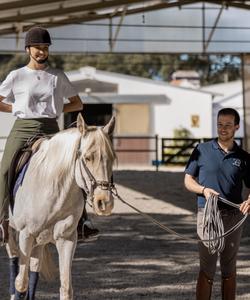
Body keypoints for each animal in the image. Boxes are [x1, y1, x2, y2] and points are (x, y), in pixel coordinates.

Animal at [5, 113, 116, 298]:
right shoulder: (25, 236)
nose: (104, 202)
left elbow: (66, 288)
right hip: (12, 234)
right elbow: (21, 282)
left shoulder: (66, 239)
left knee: (34, 269)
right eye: (87, 158)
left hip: (40, 240)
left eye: (112, 158)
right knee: (15, 263)